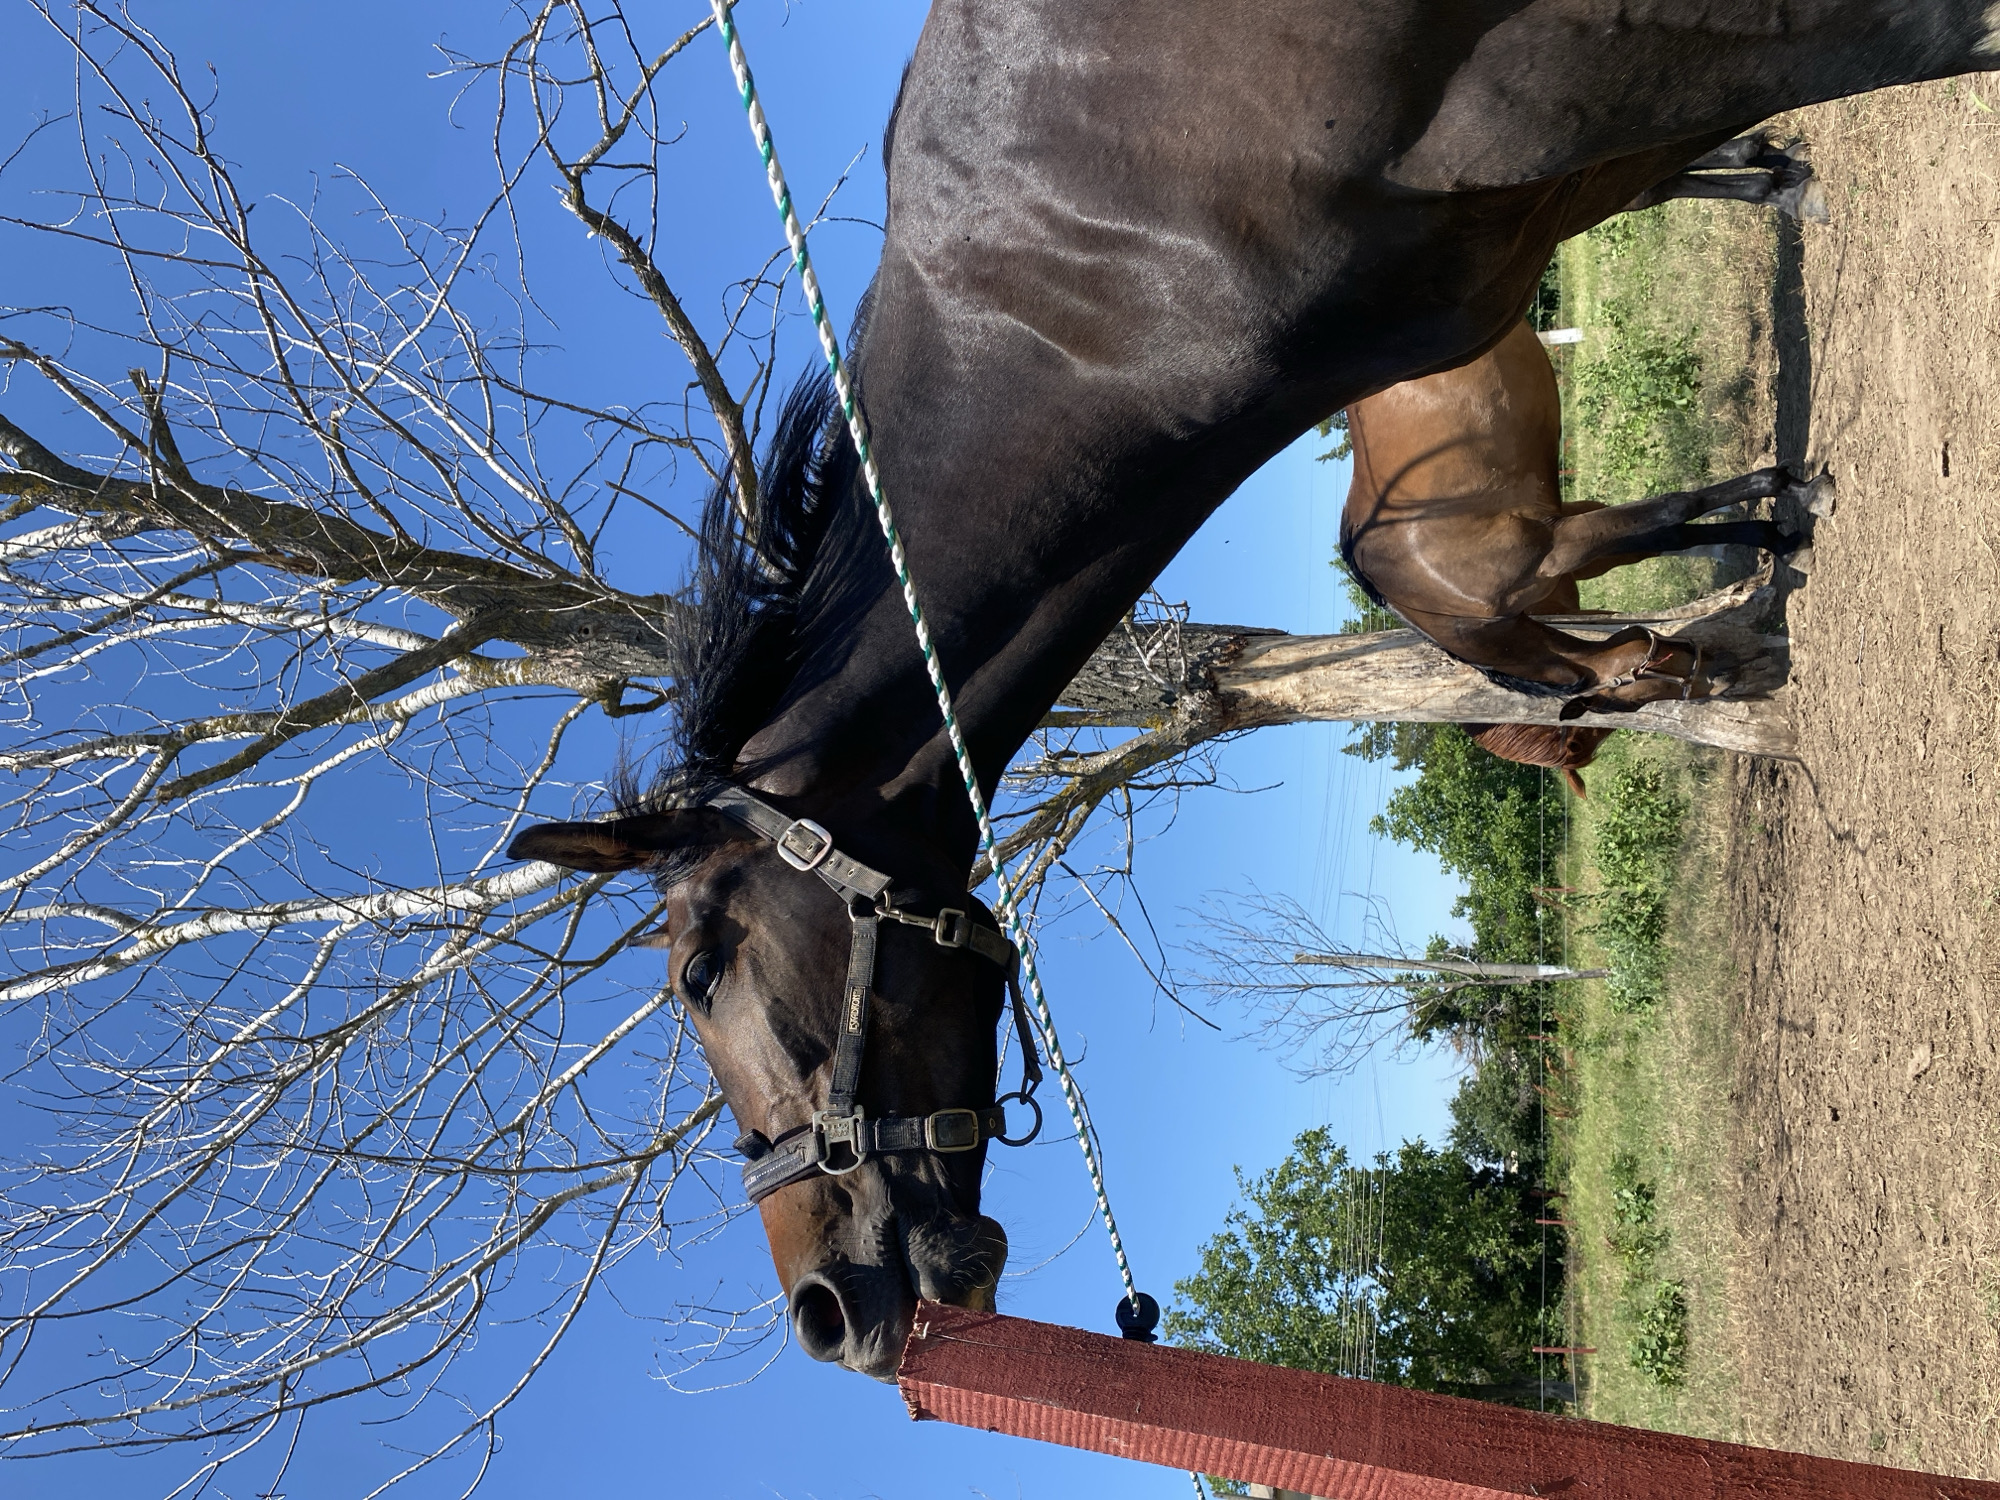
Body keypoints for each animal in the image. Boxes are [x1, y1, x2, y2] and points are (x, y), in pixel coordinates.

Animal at [1340, 318, 1828, 779]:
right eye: (1639, 698)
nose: (1724, 677)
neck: (1443, 600)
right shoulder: (1571, 534)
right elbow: (1671, 532)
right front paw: (1782, 538)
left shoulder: (1562, 544)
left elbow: (1675, 509)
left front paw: (1798, 491)